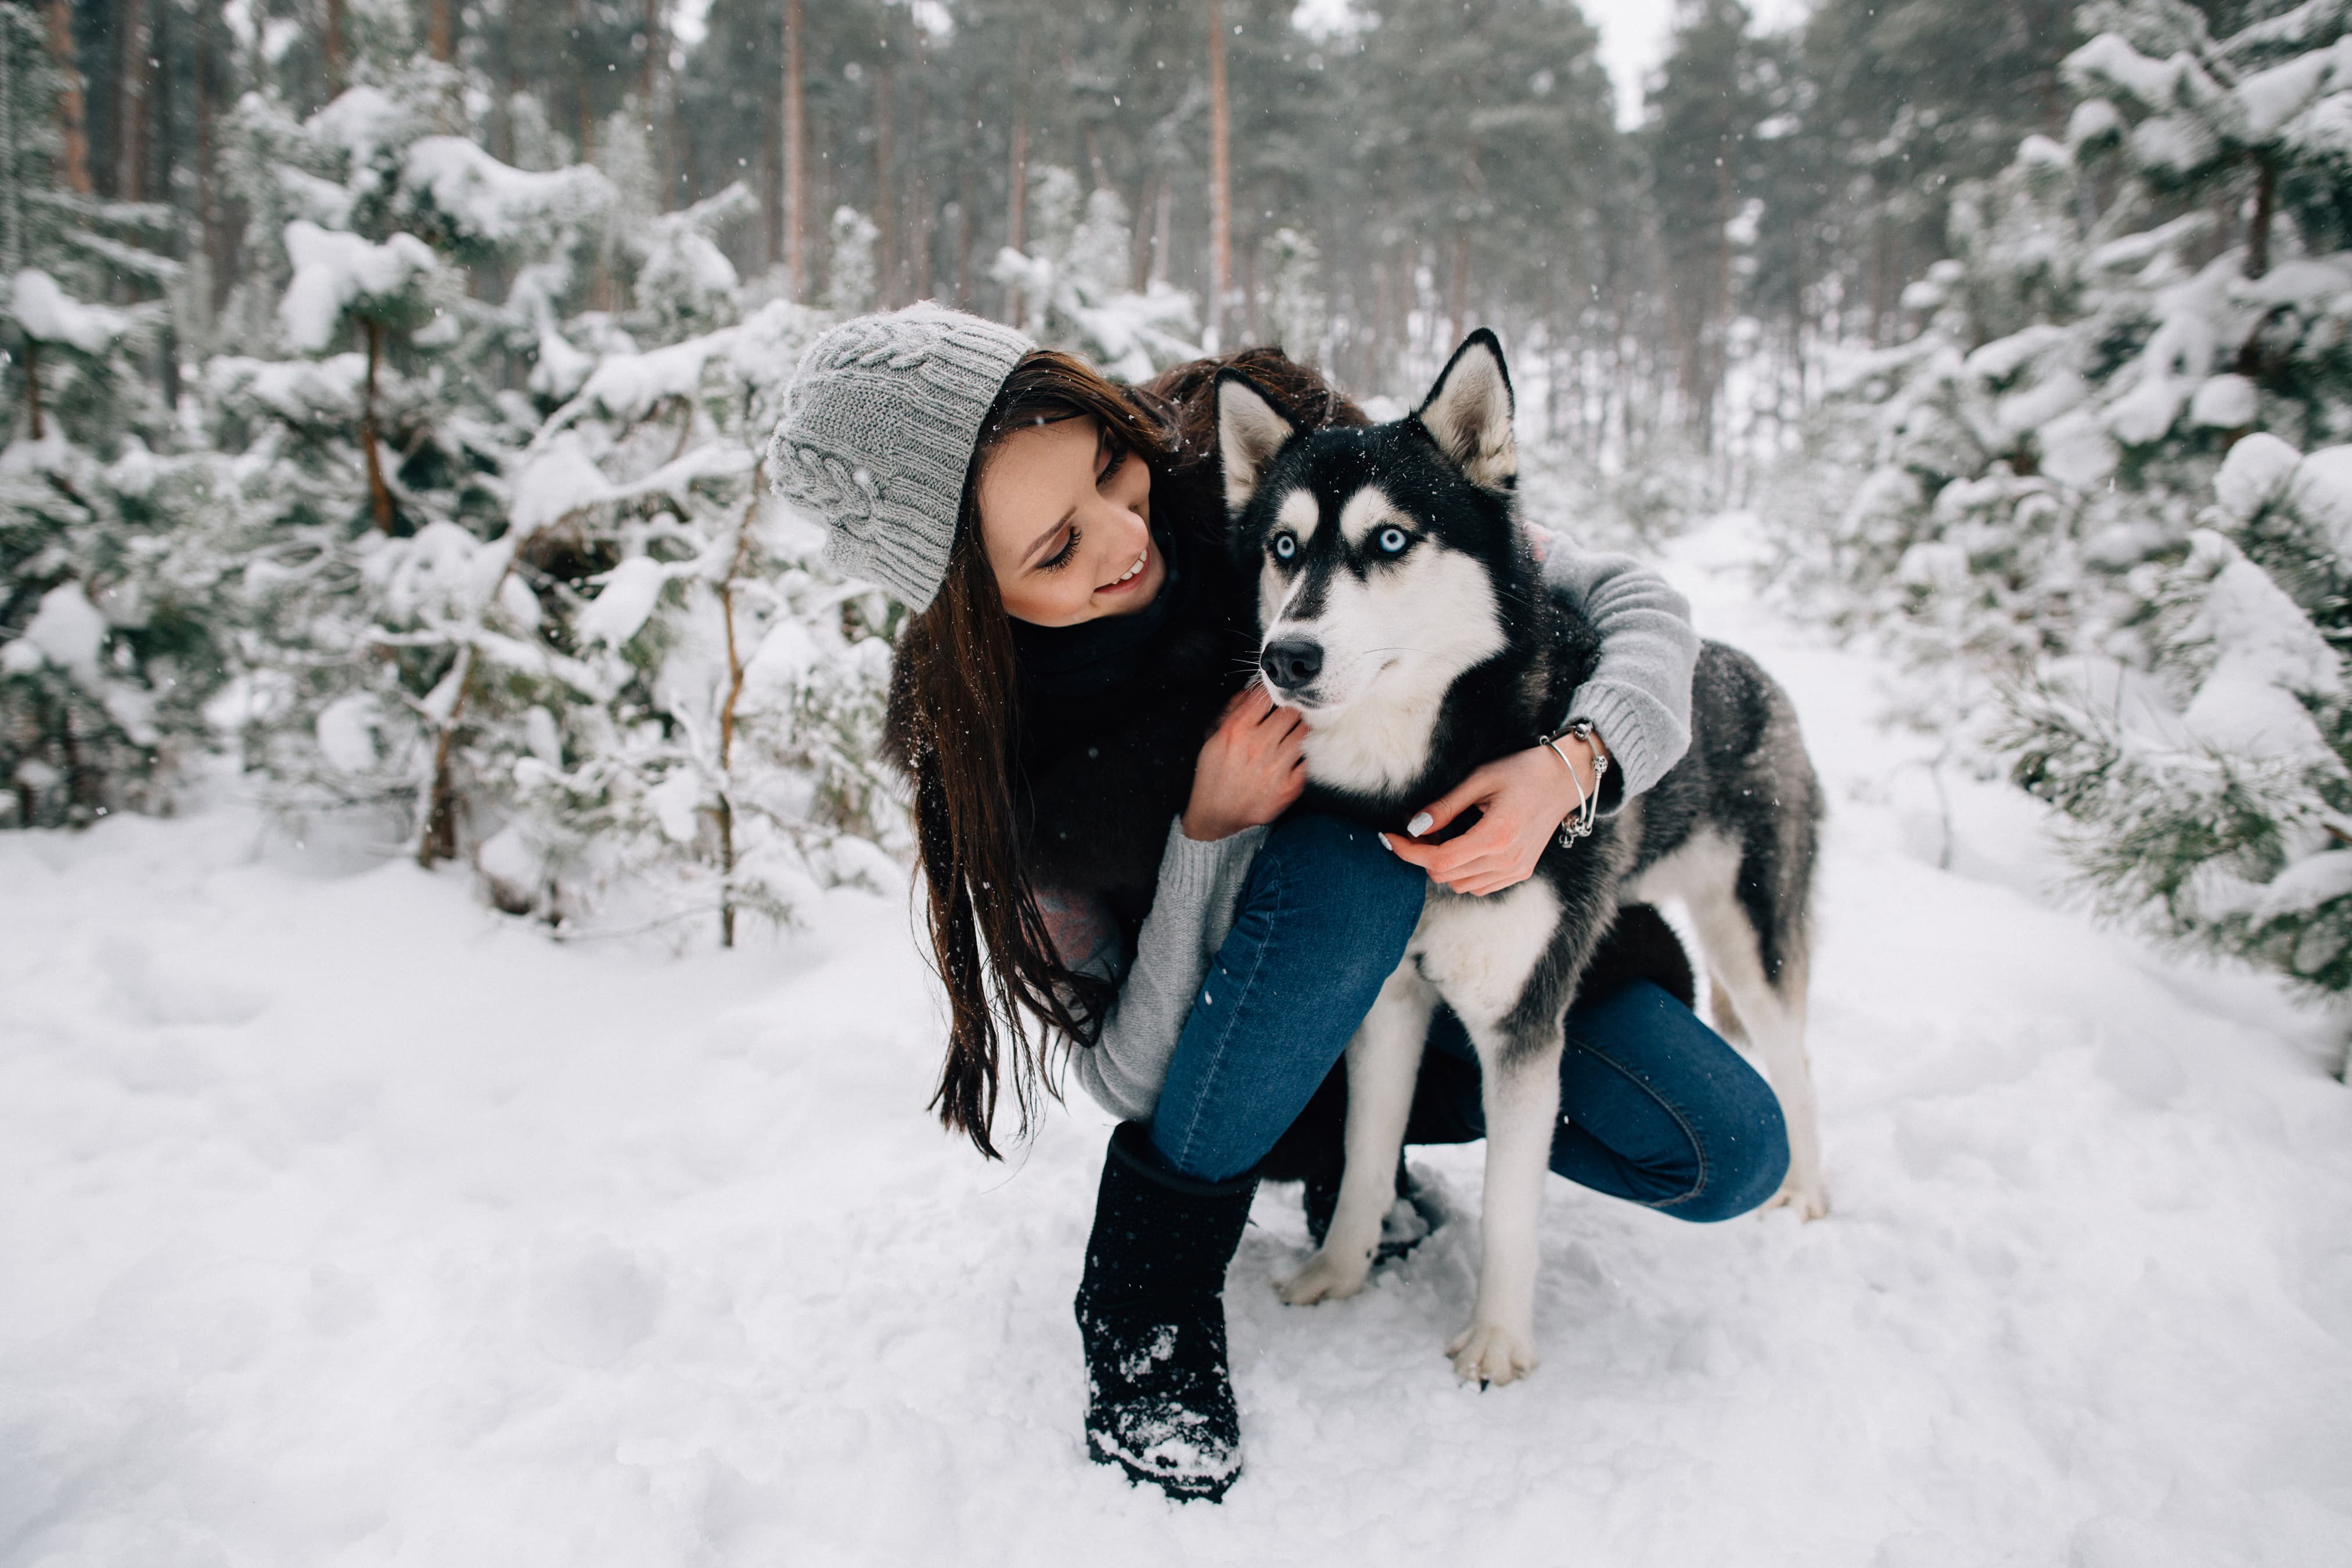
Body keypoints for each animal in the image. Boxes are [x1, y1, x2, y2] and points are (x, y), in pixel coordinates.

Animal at [1223, 331, 1825, 1382]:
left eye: (1390, 540)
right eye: (1284, 547)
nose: (1286, 657)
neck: (1419, 777)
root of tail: (1752, 672)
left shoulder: (1522, 1026)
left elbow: (1511, 1207)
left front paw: (1497, 1343)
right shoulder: (1389, 1003)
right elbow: (1368, 1154)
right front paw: (1339, 1273)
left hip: (1752, 939)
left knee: (1794, 1058)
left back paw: (1809, 1194)